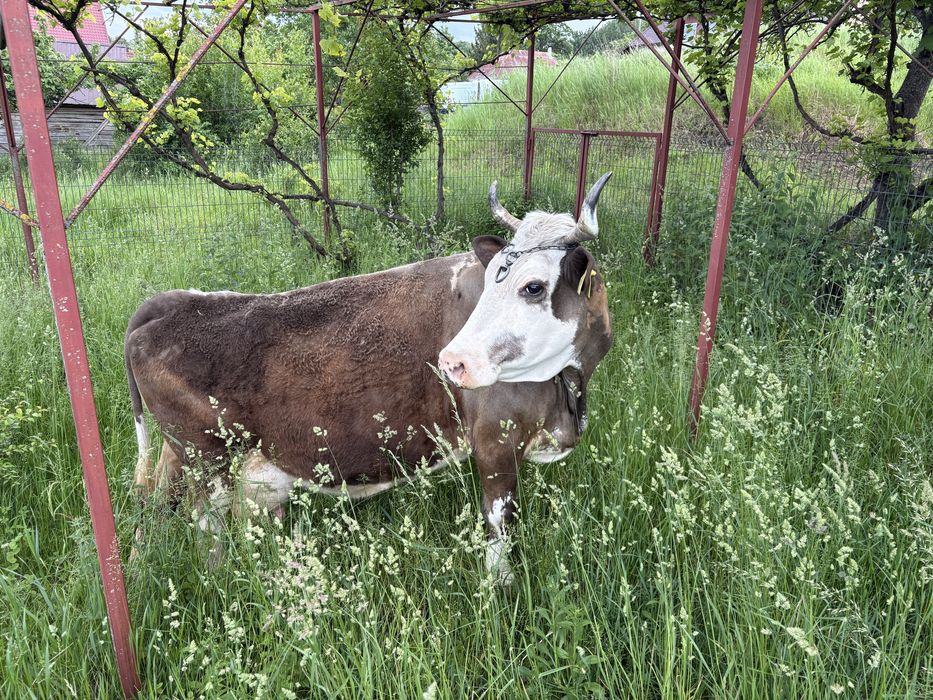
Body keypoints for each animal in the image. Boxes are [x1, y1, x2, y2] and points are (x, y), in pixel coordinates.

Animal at [125, 173, 613, 583]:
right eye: (495, 277)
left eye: (532, 286)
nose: (452, 361)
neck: (568, 393)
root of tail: (176, 301)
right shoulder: (496, 443)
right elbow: (498, 526)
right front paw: (501, 591)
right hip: (207, 463)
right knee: (206, 529)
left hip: (179, 456)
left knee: (152, 501)